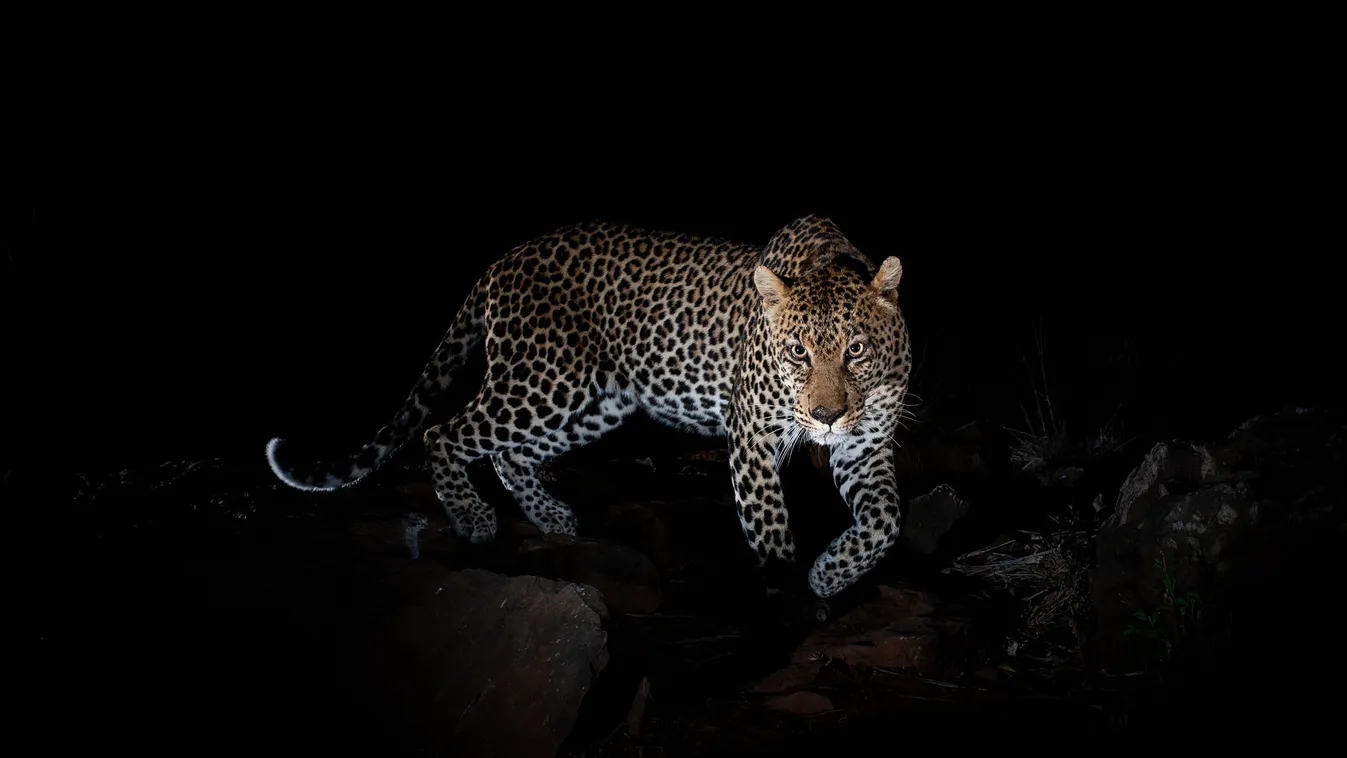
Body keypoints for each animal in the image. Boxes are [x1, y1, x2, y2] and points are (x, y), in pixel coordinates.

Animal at [262, 215, 915, 605]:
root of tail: (502, 260)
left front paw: (831, 573)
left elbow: (885, 521)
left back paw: (554, 518)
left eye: (855, 350)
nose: (826, 417)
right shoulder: (752, 437)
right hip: (542, 381)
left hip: (593, 402)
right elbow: (771, 528)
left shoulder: (865, 444)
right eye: (797, 352)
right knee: (444, 432)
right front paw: (787, 587)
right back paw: (474, 519)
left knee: (510, 453)